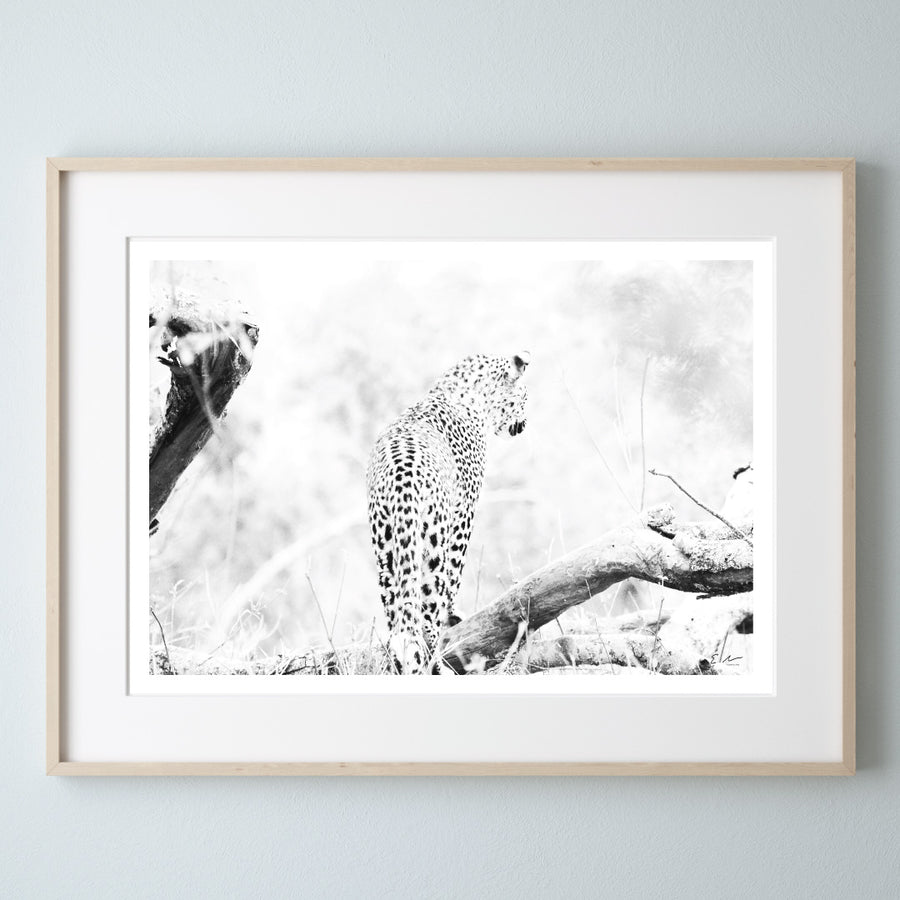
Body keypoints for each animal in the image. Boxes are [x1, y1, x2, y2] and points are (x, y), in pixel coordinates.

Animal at [366, 352, 530, 673]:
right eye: (525, 397)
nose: (525, 423)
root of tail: (403, 477)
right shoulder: (464, 513)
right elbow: (455, 573)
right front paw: (453, 615)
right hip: (432, 543)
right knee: (427, 613)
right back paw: (435, 661)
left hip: (386, 549)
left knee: (397, 621)